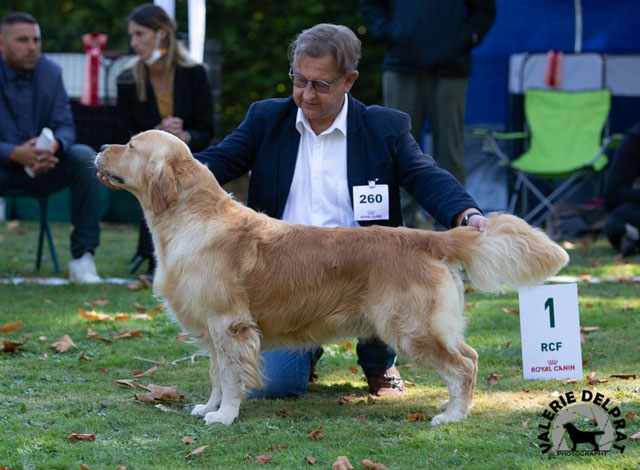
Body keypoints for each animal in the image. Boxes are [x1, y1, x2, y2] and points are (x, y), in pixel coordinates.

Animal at [94, 129, 564, 426]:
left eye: (131, 144)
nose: (99, 146)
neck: (192, 218)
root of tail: (427, 237)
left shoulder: (230, 324)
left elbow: (230, 375)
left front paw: (225, 416)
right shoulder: (212, 328)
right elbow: (215, 373)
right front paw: (208, 408)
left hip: (411, 328)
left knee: (464, 365)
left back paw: (451, 415)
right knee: (470, 355)